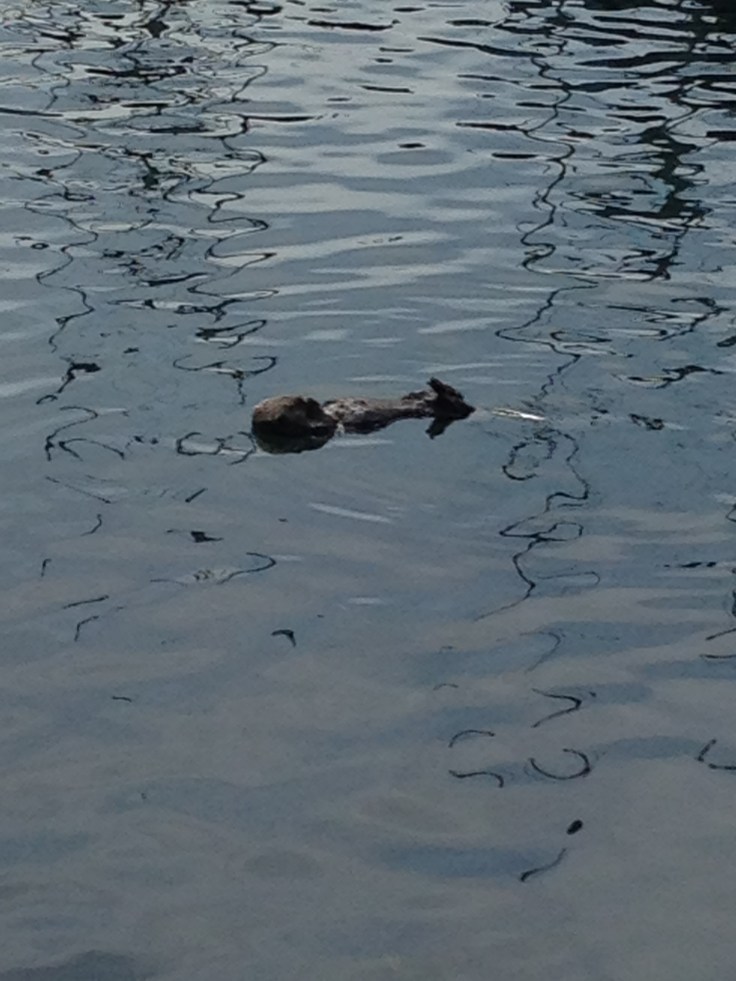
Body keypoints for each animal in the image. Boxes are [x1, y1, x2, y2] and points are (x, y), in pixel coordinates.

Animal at [251, 377, 474, 453]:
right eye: (293, 404)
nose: (305, 398)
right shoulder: (320, 427)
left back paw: (431, 386)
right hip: (452, 409)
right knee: (457, 406)